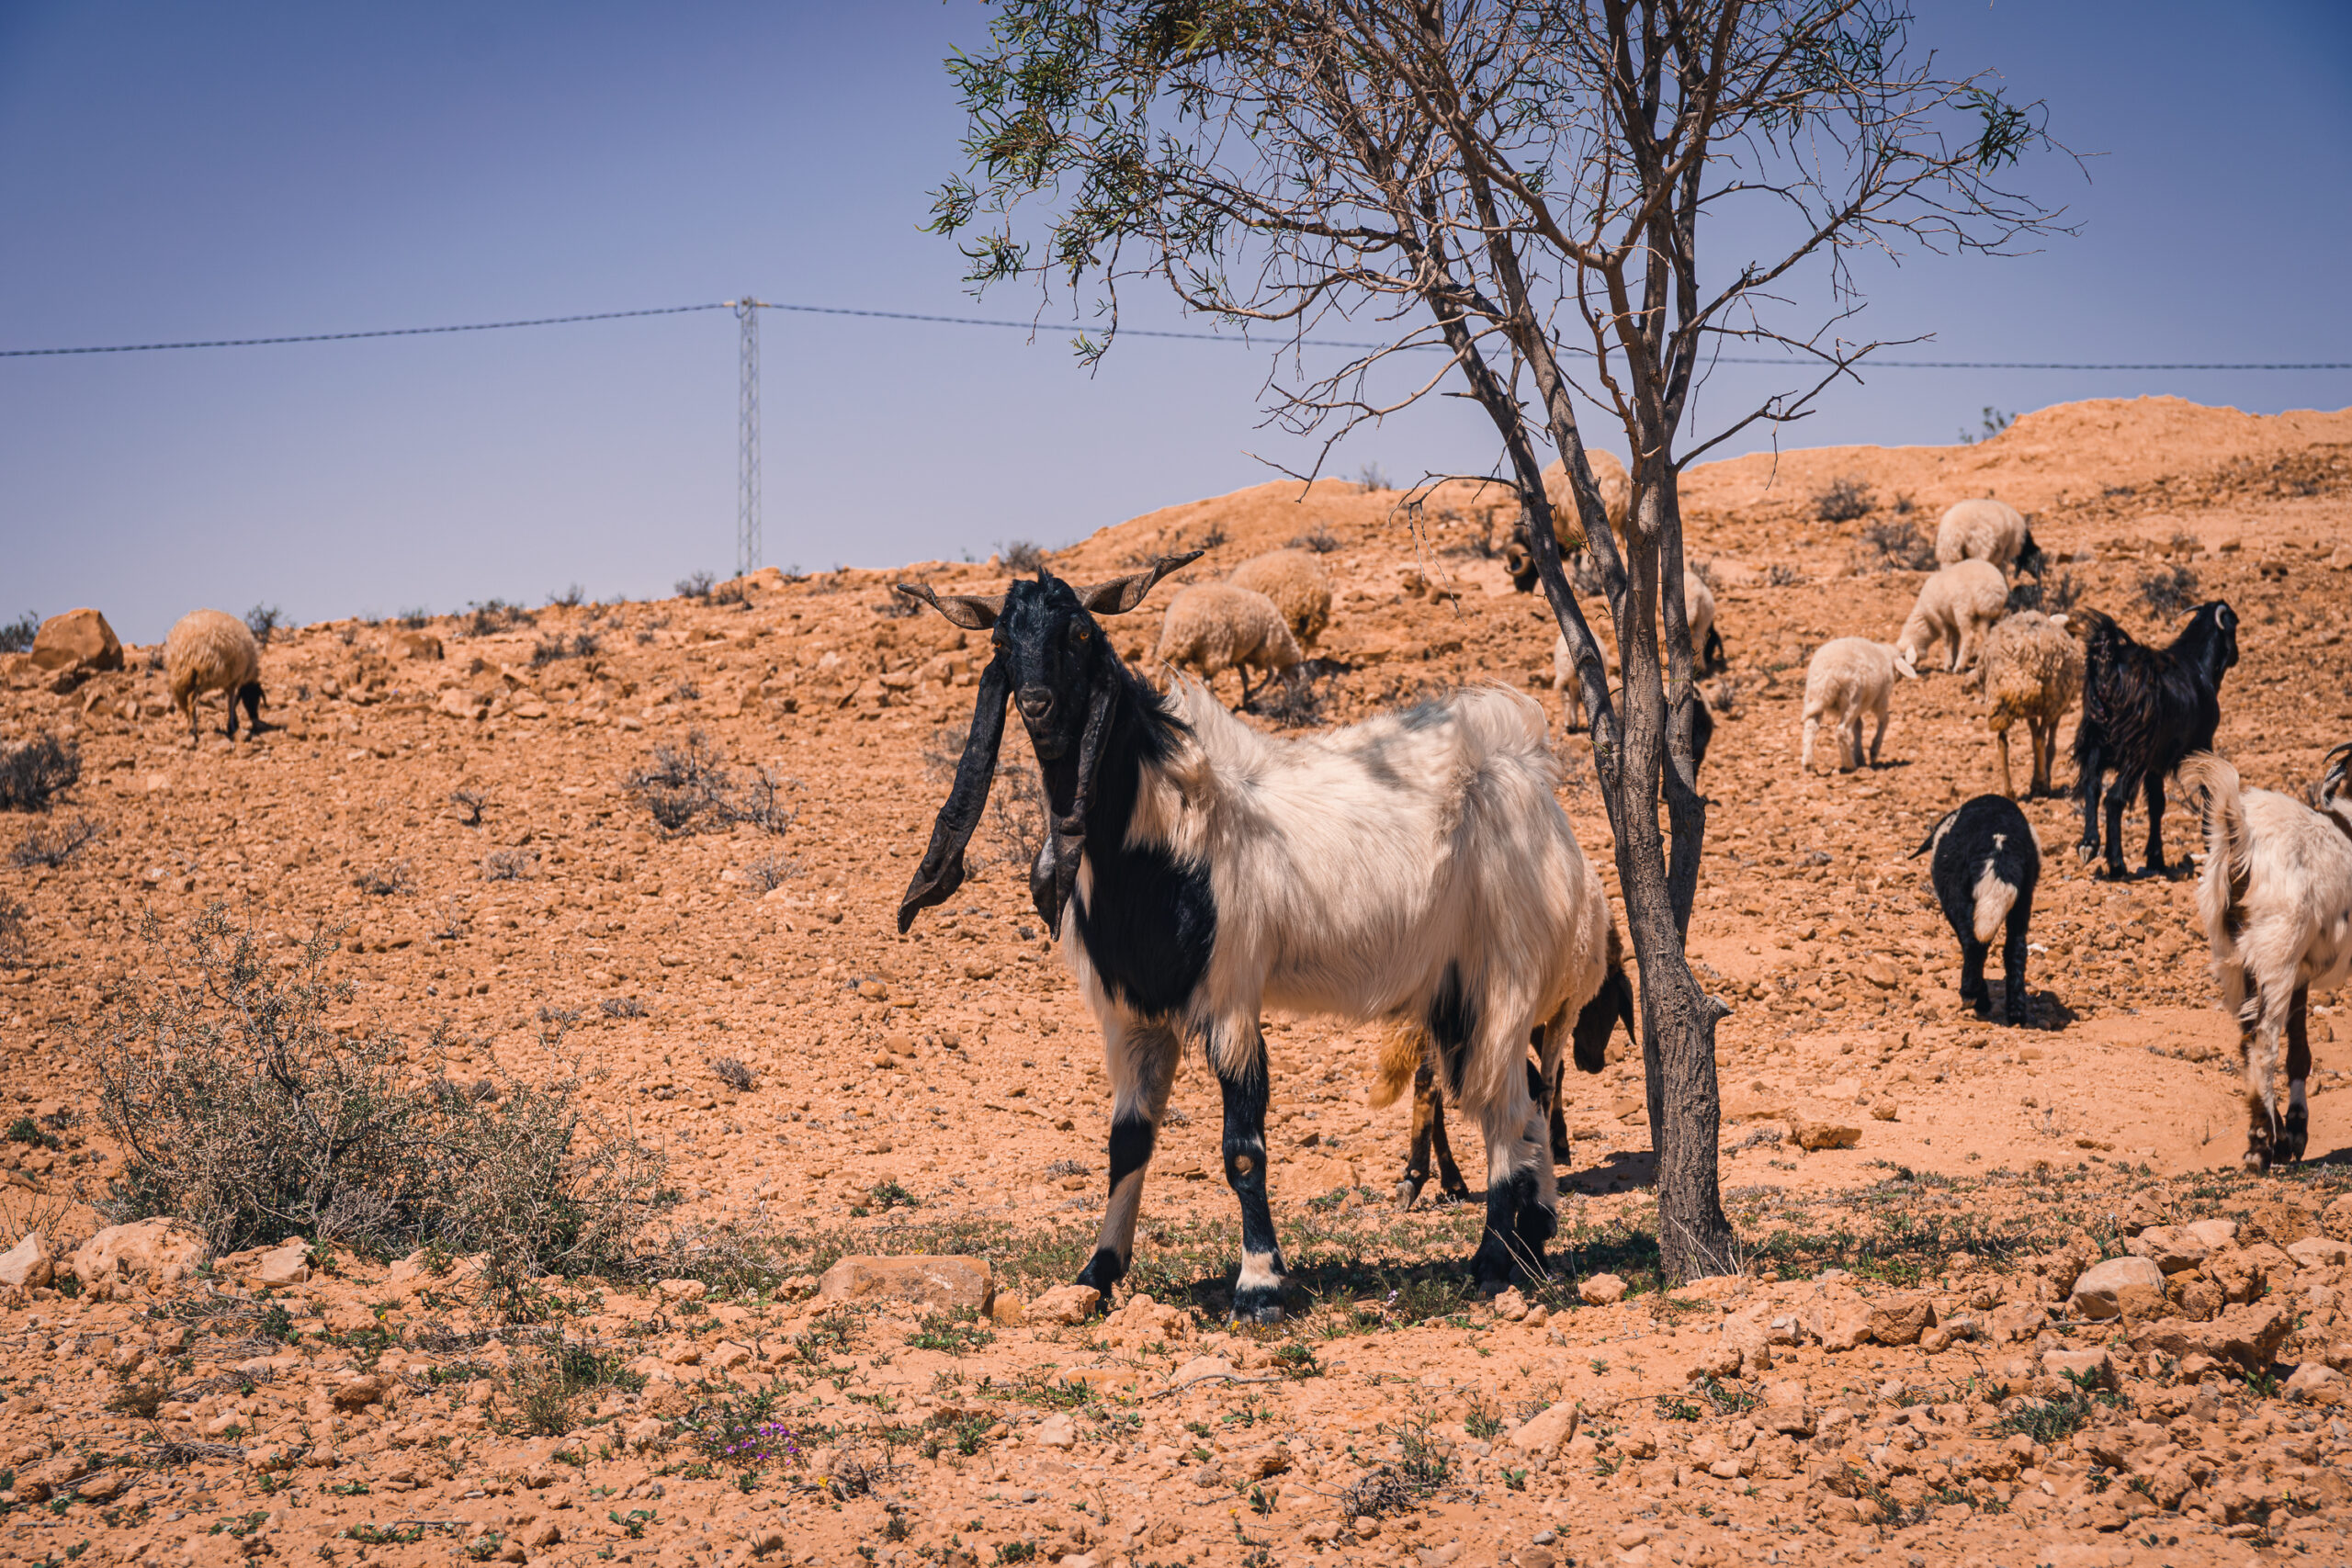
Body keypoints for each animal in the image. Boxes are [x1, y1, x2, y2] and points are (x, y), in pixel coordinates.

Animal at [896, 556, 1620, 1316]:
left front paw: (1260, 1283)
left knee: (1506, 1104)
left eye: (1079, 633)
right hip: (1454, 989)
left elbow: (1242, 1145)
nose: (1036, 705)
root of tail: (1530, 771)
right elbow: (1127, 1141)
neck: (1167, 835)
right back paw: (1534, 1237)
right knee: (1525, 1095)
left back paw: (1493, 1260)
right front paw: (1097, 1273)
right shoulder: (1132, 1012)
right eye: (1003, 642)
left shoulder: (1231, 996)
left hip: (1503, 973)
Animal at [1911, 795, 2042, 1026]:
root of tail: (1999, 850)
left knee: (1972, 942)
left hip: (1956, 892)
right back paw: (2016, 1012)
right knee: (2015, 948)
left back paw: (1973, 996)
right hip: (2024, 895)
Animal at [2071, 602, 2239, 879]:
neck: (2197, 664)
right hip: (2134, 750)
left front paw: (2156, 859)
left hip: (2096, 740)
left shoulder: (2156, 763)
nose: (2235, 655)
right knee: (2114, 798)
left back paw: (2089, 845)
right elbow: (2206, 789)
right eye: (2234, 626)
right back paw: (2117, 864)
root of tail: (2109, 665)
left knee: (2092, 786)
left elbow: (2156, 804)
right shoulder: (2202, 742)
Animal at [2179, 748, 2352, 1171]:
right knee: (2263, 1041)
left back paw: (2277, 1137)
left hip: (2237, 958)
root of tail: (2242, 839)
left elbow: (2301, 1052)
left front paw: (2296, 1131)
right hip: (2277, 949)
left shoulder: (2302, 972)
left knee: (2248, 1039)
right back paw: (2260, 1144)